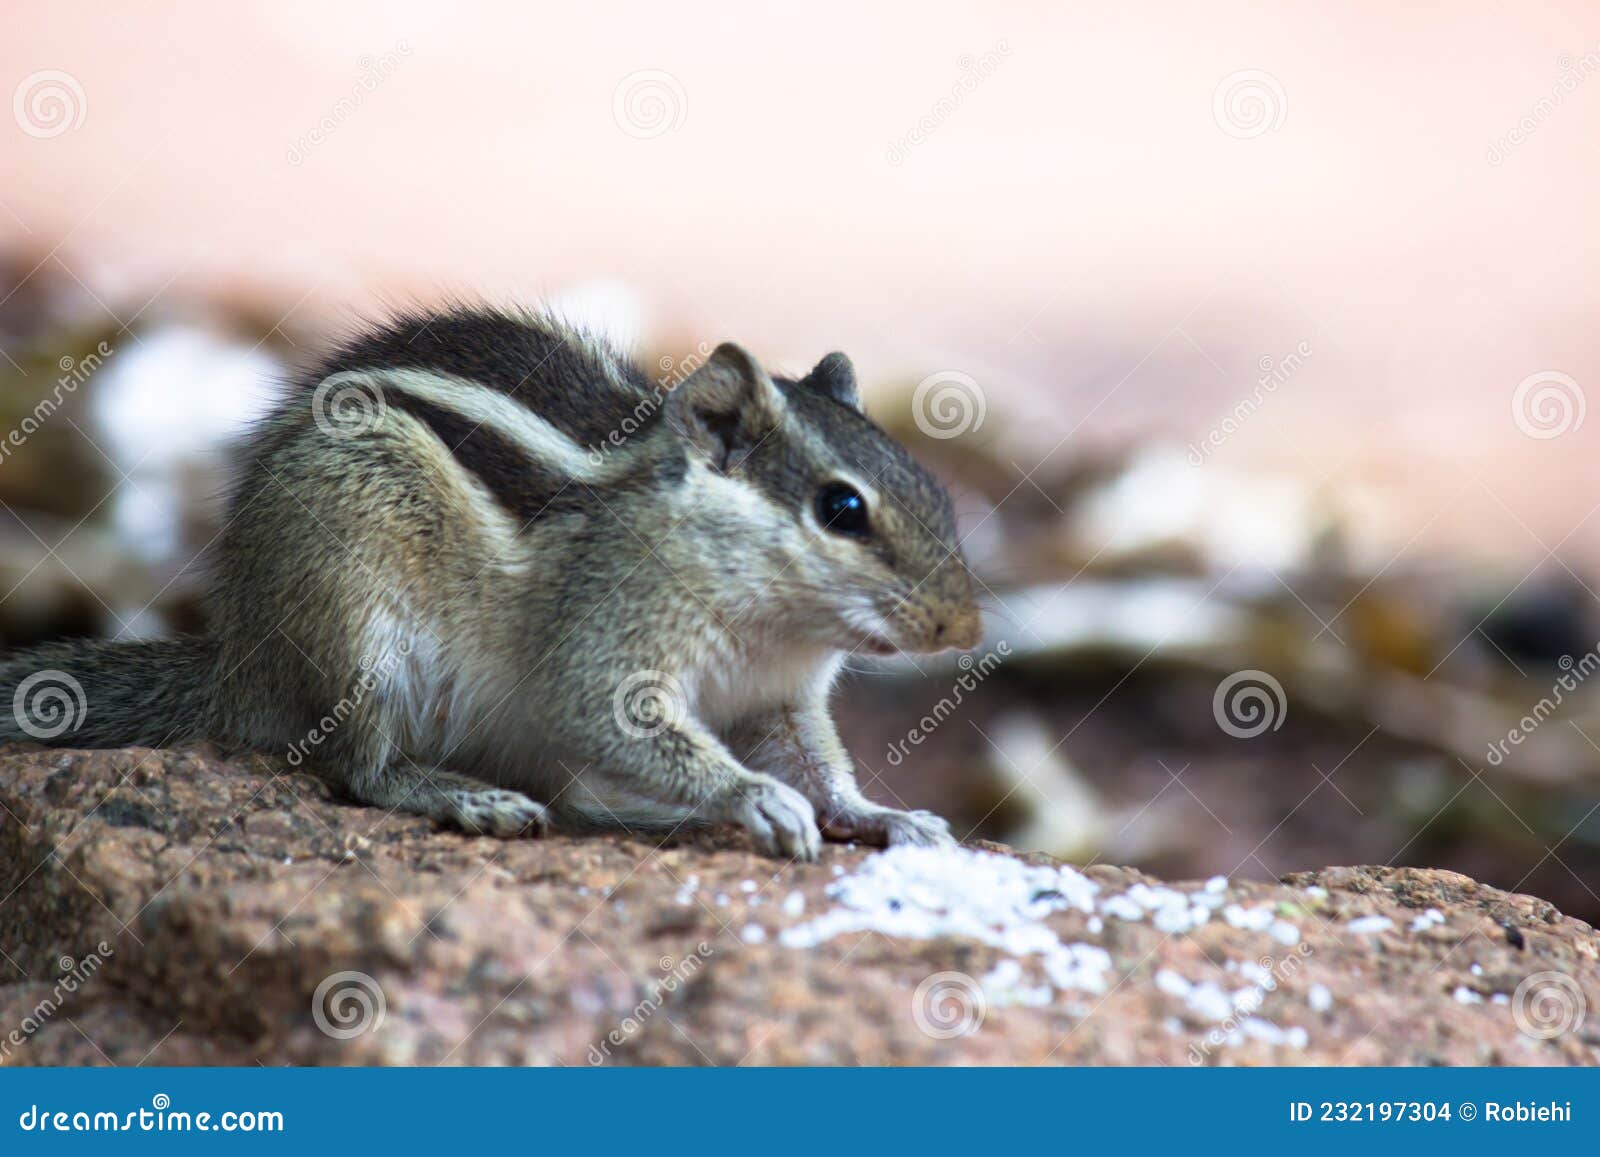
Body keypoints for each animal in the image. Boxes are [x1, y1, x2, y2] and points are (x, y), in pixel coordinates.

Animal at [0, 307, 983, 859]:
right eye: (842, 509)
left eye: (932, 489)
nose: (964, 629)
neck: (770, 620)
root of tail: (240, 657)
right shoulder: (603, 646)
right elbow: (616, 720)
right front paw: (752, 797)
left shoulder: (781, 697)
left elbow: (815, 761)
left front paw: (882, 815)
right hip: (357, 616)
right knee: (358, 768)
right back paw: (465, 796)